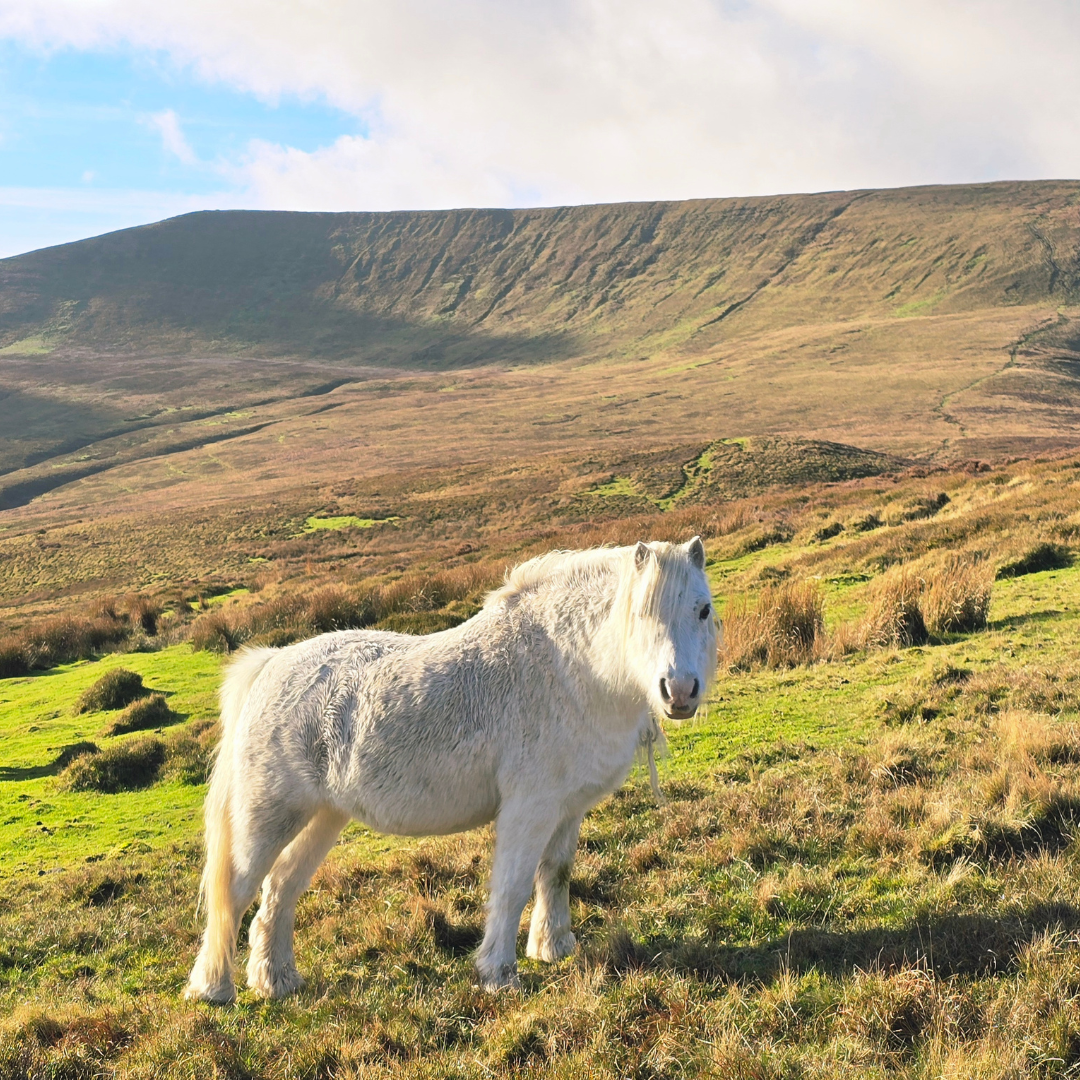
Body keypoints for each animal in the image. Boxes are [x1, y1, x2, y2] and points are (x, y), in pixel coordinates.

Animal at [185, 537, 718, 1003]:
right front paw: (499, 974)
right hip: (268, 817)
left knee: (279, 890)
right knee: (234, 892)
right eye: (642, 612)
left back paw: (276, 981)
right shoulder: (528, 810)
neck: (566, 670)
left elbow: (555, 873)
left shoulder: (567, 809)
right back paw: (213, 988)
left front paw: (554, 948)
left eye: (703, 610)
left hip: (324, 817)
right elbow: (512, 886)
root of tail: (270, 664)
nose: (679, 691)